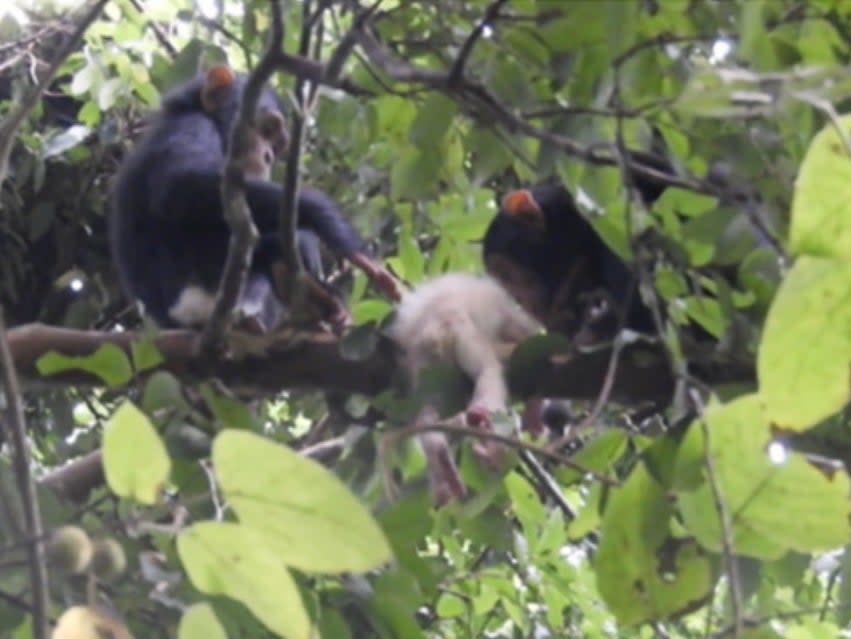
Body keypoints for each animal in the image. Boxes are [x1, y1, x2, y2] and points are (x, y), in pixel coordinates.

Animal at [110, 66, 400, 336]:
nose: (268, 156)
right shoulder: (193, 128)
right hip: (201, 293)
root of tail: (178, 323)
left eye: (278, 145)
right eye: (266, 128)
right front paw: (342, 236)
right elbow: (180, 186)